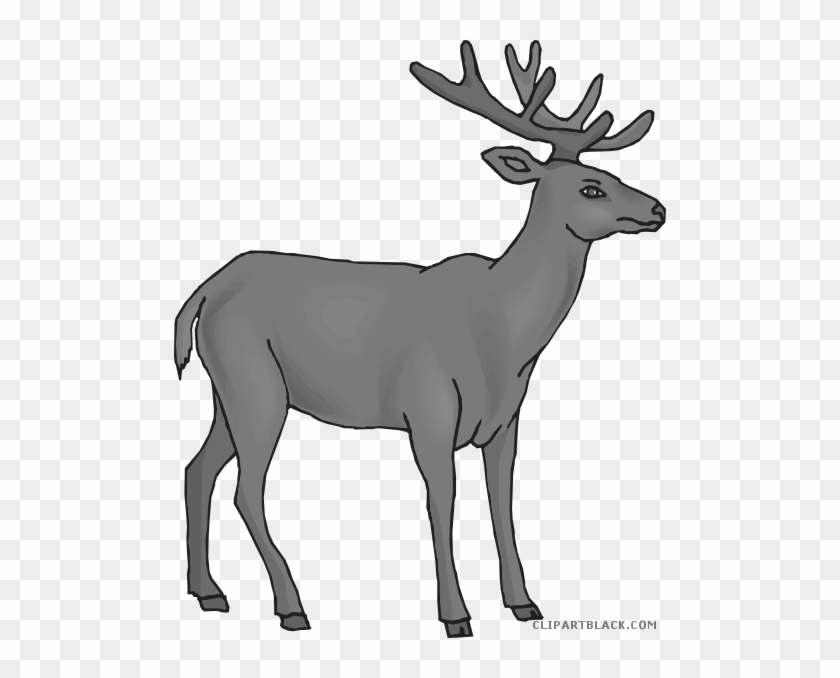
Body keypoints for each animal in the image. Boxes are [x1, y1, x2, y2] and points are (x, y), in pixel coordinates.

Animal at [174, 41, 666, 638]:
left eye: (608, 174)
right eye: (590, 187)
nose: (657, 209)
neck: (505, 340)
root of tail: (205, 291)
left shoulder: (506, 419)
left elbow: (501, 501)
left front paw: (524, 603)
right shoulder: (428, 407)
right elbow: (442, 503)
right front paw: (456, 615)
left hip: (230, 388)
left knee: (197, 469)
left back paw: (208, 592)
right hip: (254, 381)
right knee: (246, 489)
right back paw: (291, 606)